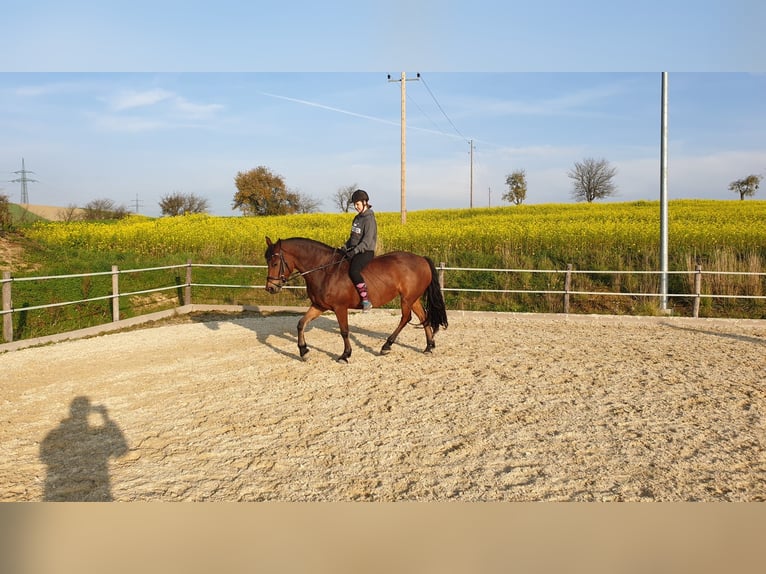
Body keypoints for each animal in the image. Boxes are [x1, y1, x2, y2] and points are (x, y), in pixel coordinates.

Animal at [264, 236, 448, 363]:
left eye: (275, 263)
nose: (270, 288)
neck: (325, 271)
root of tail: (422, 259)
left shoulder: (340, 307)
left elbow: (344, 331)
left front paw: (345, 355)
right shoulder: (318, 306)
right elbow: (301, 323)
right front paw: (303, 351)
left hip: (407, 299)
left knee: (406, 318)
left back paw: (386, 346)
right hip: (413, 298)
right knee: (423, 317)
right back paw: (428, 346)